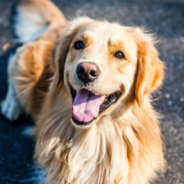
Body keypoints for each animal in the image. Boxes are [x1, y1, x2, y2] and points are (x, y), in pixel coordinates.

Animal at [1, 0, 165, 184]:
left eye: (119, 54)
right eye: (78, 44)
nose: (86, 71)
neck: (94, 138)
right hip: (27, 74)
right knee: (13, 61)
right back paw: (11, 105)